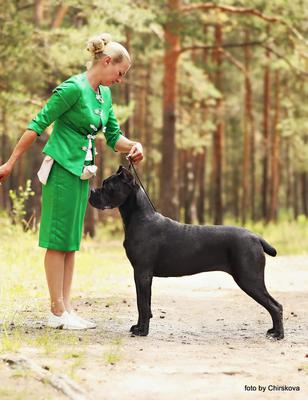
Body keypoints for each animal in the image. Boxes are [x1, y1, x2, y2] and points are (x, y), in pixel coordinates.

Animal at [88, 167, 284, 340]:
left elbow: (142, 305)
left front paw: (142, 331)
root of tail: (256, 237)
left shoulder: (142, 272)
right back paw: (274, 331)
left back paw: (278, 335)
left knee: (276, 306)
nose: (91, 191)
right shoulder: (143, 275)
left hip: (249, 278)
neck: (140, 217)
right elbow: (145, 304)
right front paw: (138, 327)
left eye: (107, 185)